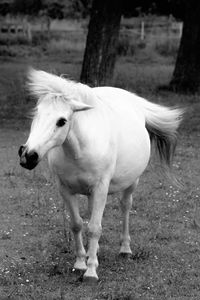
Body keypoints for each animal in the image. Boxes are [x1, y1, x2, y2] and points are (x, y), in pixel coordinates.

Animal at [18, 69, 183, 282]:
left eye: (62, 121)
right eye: (36, 114)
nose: (28, 155)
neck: (79, 150)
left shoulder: (101, 188)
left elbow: (95, 228)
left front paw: (90, 271)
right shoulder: (65, 189)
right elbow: (77, 224)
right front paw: (81, 262)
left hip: (131, 183)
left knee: (125, 207)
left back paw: (125, 249)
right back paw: (92, 252)